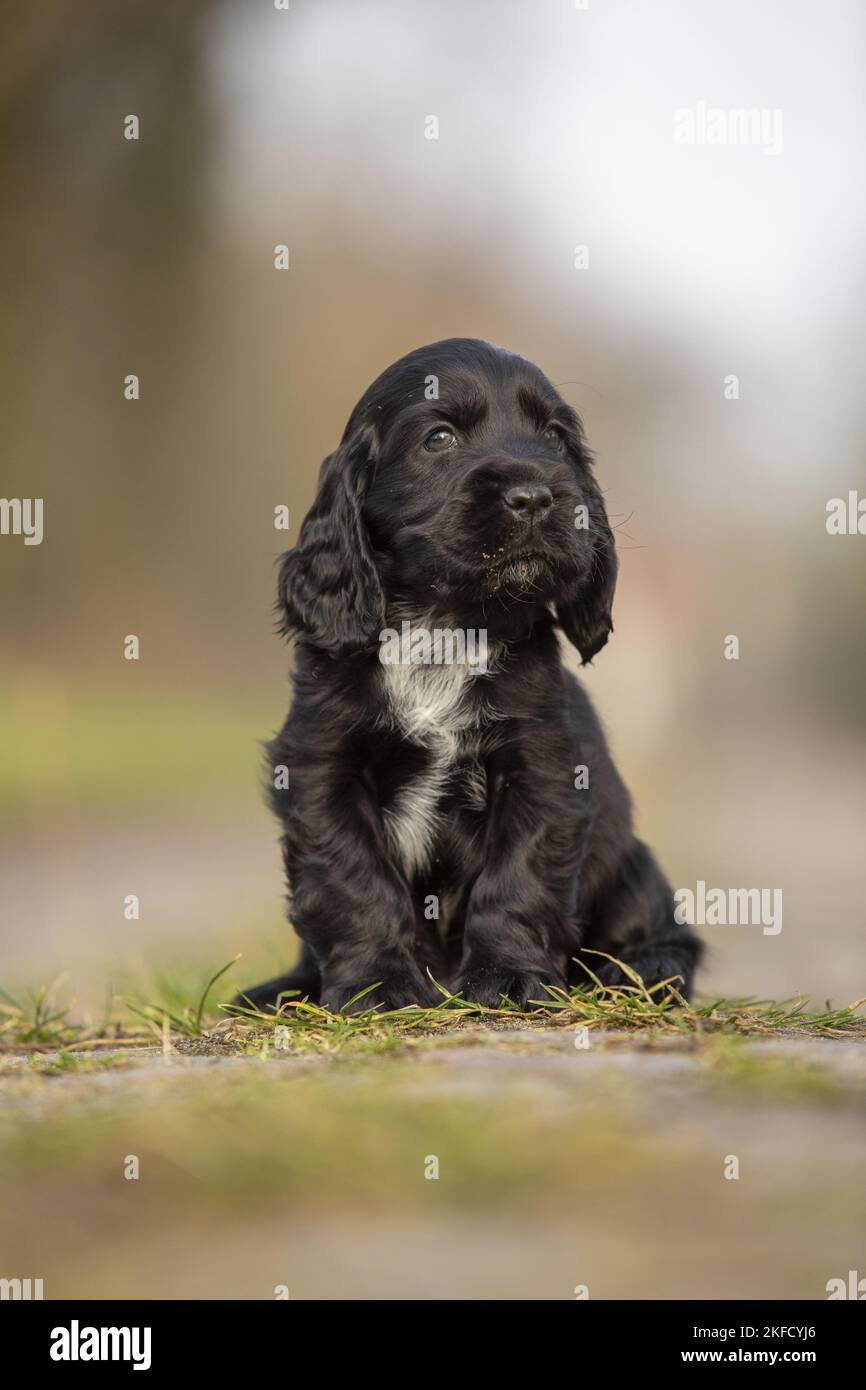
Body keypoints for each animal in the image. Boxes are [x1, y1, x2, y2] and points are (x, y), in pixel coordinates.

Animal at [239, 336, 706, 1011]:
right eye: (439, 438)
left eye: (556, 437)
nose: (535, 495)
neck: (448, 624)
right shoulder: (320, 767)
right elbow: (352, 882)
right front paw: (378, 984)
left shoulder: (543, 767)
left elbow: (517, 879)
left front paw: (508, 978)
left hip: (634, 866)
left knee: (668, 935)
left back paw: (636, 970)